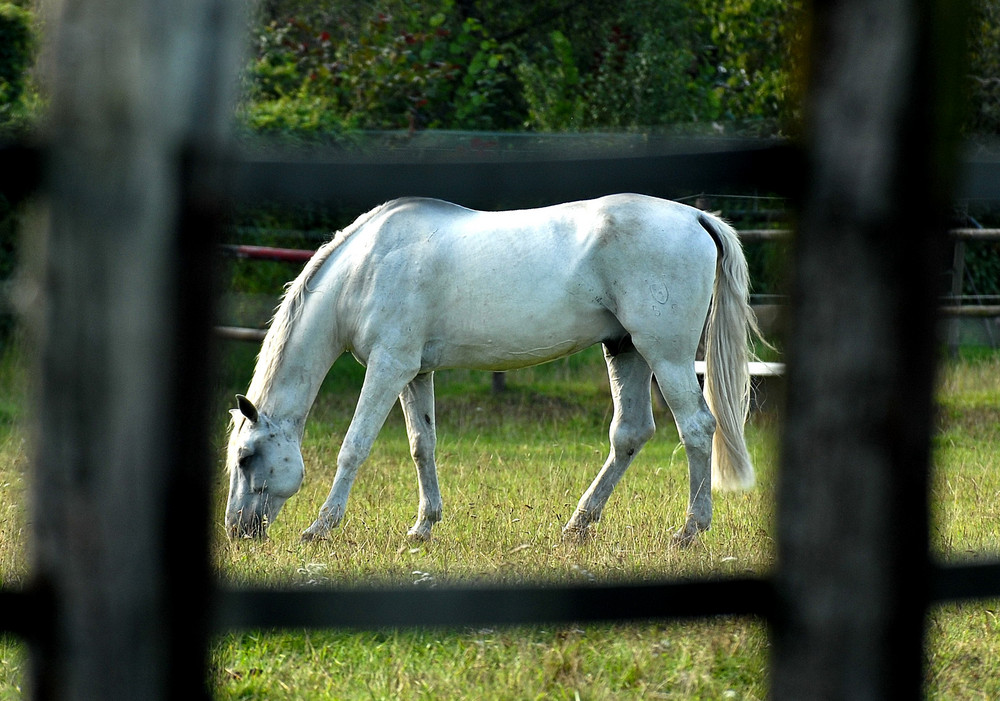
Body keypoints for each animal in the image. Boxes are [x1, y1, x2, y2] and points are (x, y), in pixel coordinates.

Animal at [227, 194, 756, 544]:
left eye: (246, 457)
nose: (237, 531)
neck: (367, 267)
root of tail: (694, 216)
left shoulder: (388, 367)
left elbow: (354, 446)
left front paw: (320, 527)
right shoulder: (415, 373)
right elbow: (422, 445)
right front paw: (423, 527)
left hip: (665, 355)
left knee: (696, 427)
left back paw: (689, 531)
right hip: (625, 350)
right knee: (630, 433)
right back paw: (578, 524)